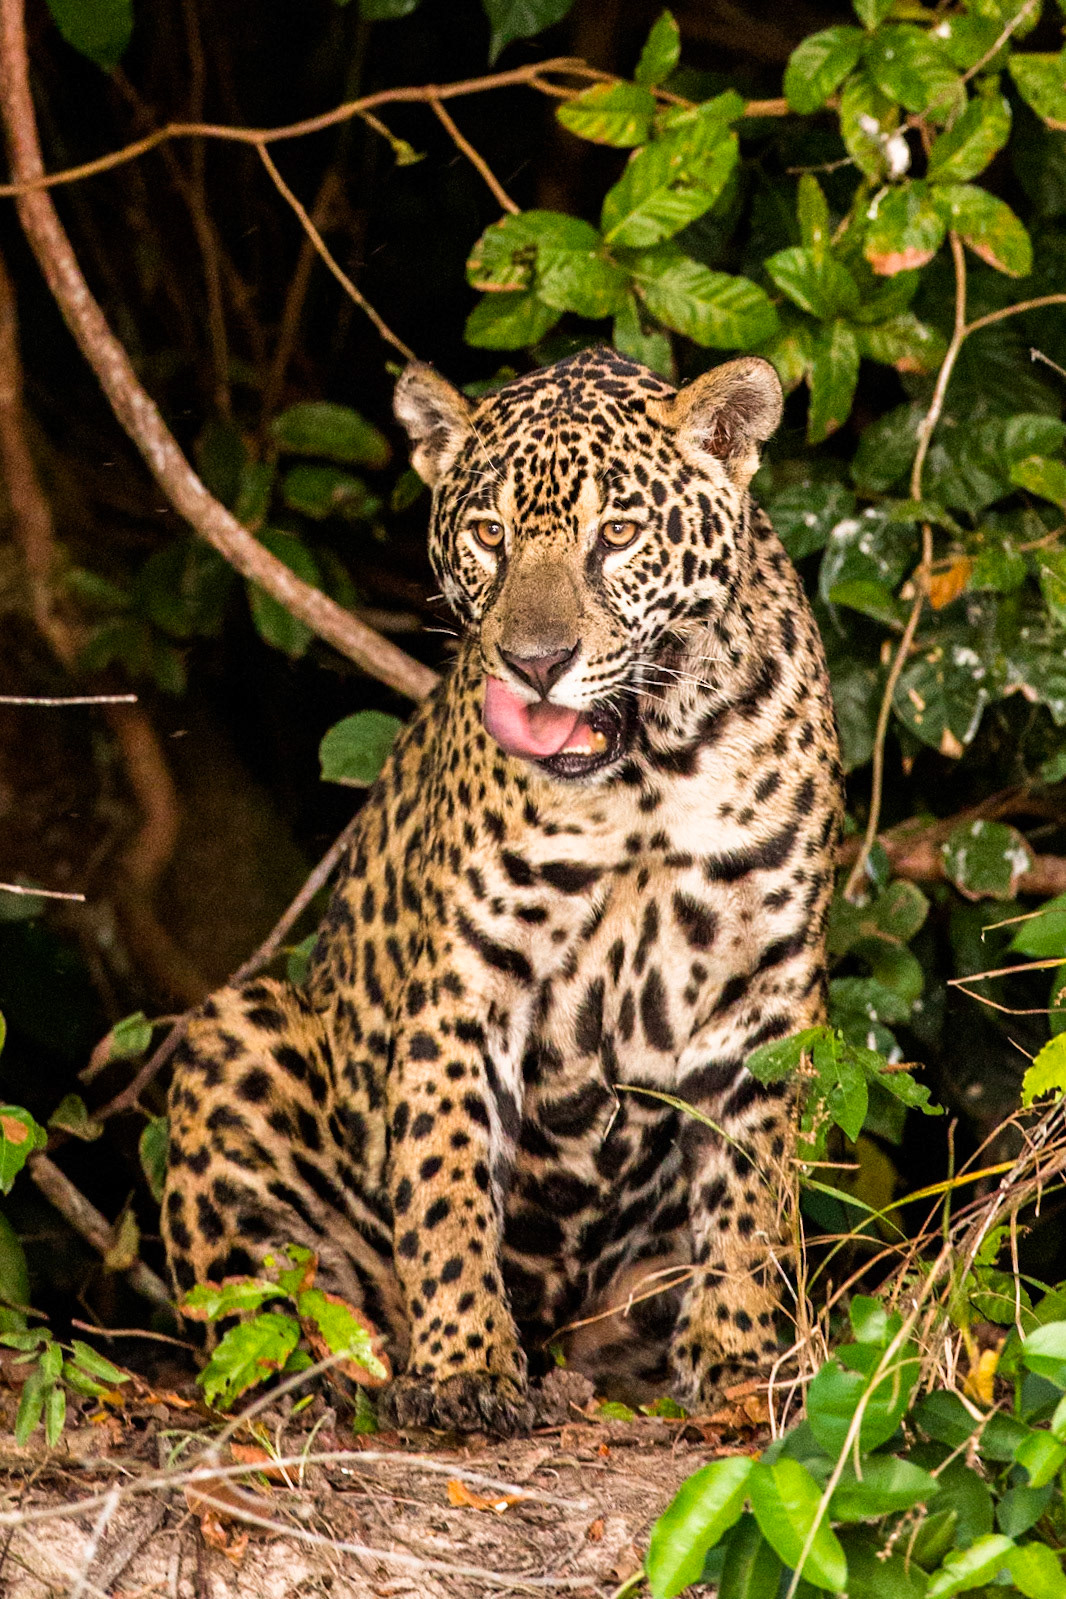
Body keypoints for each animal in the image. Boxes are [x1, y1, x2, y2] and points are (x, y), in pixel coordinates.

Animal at [162, 344, 843, 1436]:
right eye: (489, 534)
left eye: (619, 535)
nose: (535, 664)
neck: (649, 770)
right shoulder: (468, 979)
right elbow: (444, 1181)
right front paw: (466, 1367)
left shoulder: (765, 984)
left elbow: (751, 1185)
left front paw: (740, 1357)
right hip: (240, 1031)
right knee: (255, 1304)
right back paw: (323, 1377)